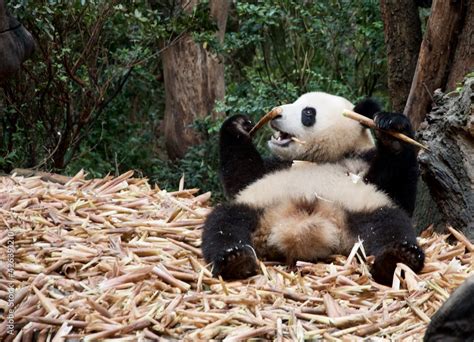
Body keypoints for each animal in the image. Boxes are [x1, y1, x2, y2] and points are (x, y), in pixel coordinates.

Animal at [202, 91, 424, 286]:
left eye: (308, 112)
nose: (277, 114)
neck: (317, 159)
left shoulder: (361, 164)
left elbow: (399, 191)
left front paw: (392, 129)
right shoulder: (276, 166)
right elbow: (242, 177)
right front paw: (238, 124)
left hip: (363, 209)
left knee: (391, 224)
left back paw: (399, 257)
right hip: (257, 207)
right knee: (224, 223)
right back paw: (235, 258)